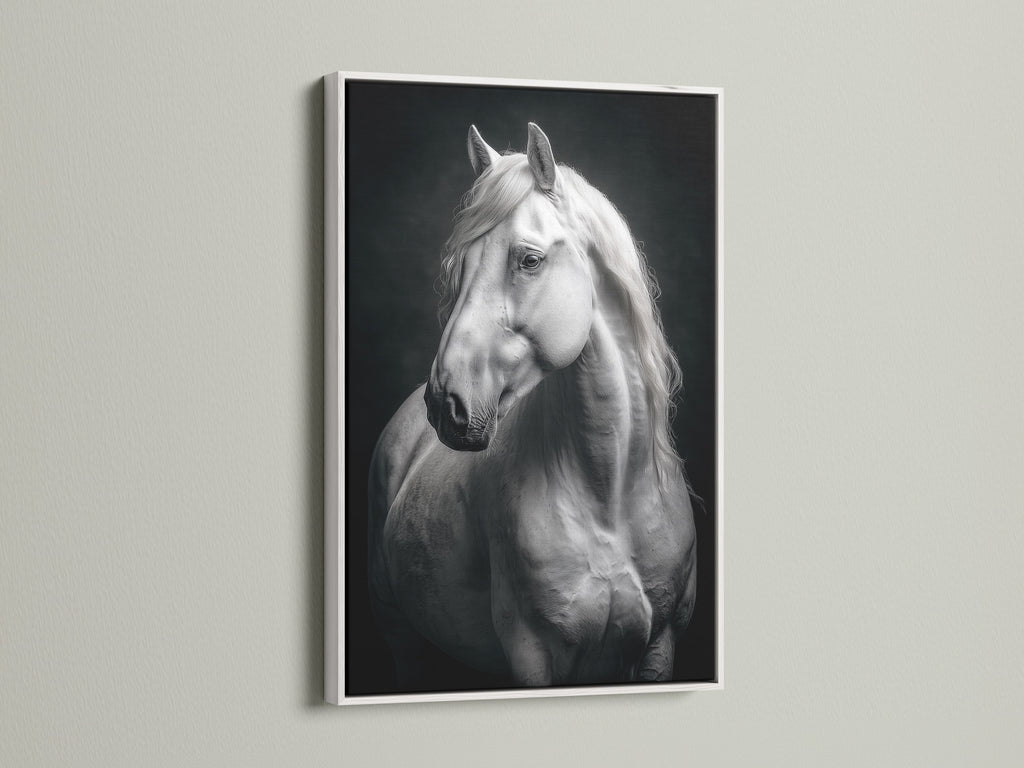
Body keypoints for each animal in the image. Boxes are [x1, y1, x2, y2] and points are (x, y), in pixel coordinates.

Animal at [368, 123, 696, 689]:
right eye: (458, 265)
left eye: (530, 260)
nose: (445, 405)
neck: (610, 493)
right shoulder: (533, 656)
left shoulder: (661, 645)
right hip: (401, 635)